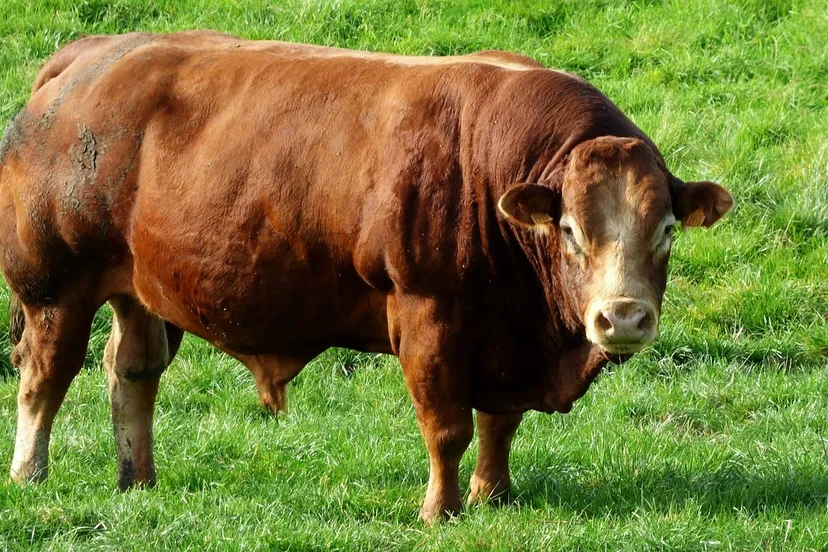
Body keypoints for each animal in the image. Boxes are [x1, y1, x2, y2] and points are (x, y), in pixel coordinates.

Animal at [0, 31, 733, 522]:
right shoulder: (428, 317)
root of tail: (92, 54)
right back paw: (30, 472)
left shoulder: (506, 340)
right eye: (573, 231)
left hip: (137, 286)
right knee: (44, 375)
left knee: (132, 371)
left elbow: (499, 424)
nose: (624, 317)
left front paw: (493, 495)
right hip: (54, 284)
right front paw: (441, 511)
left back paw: (138, 479)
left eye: (667, 231)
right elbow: (448, 427)